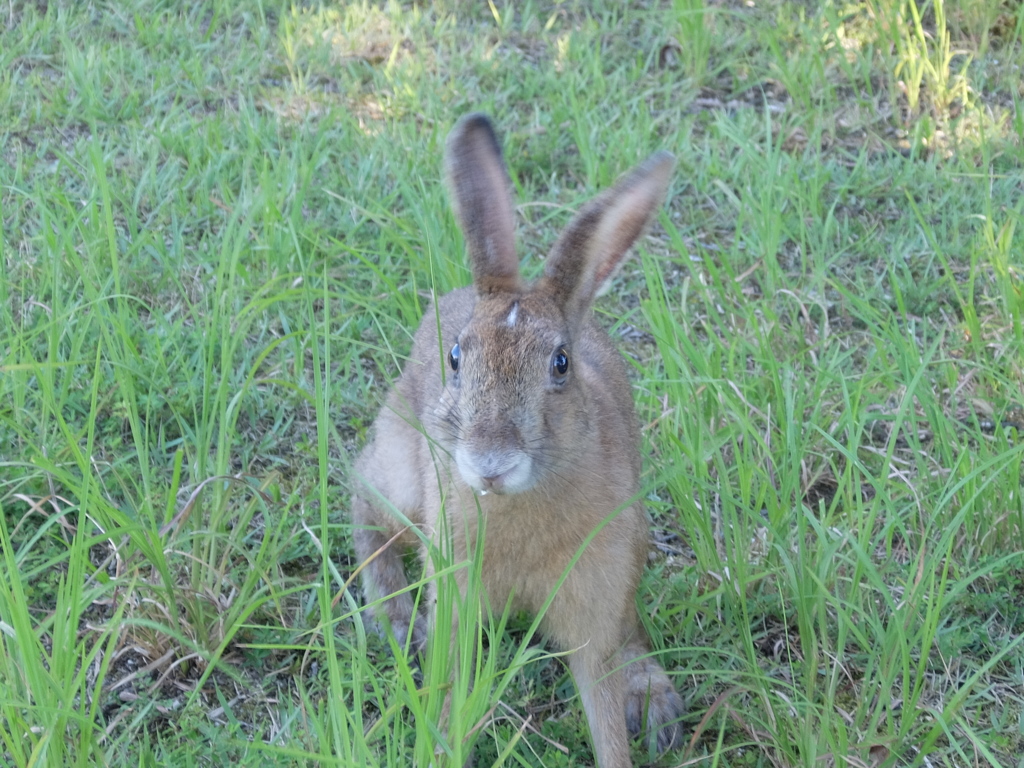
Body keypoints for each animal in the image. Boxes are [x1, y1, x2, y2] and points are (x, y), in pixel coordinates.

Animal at [350, 114, 679, 768]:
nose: (489, 464)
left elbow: (604, 710)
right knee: (363, 503)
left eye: (560, 364)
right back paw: (398, 619)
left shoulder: (595, 605)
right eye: (457, 356)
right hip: (403, 476)